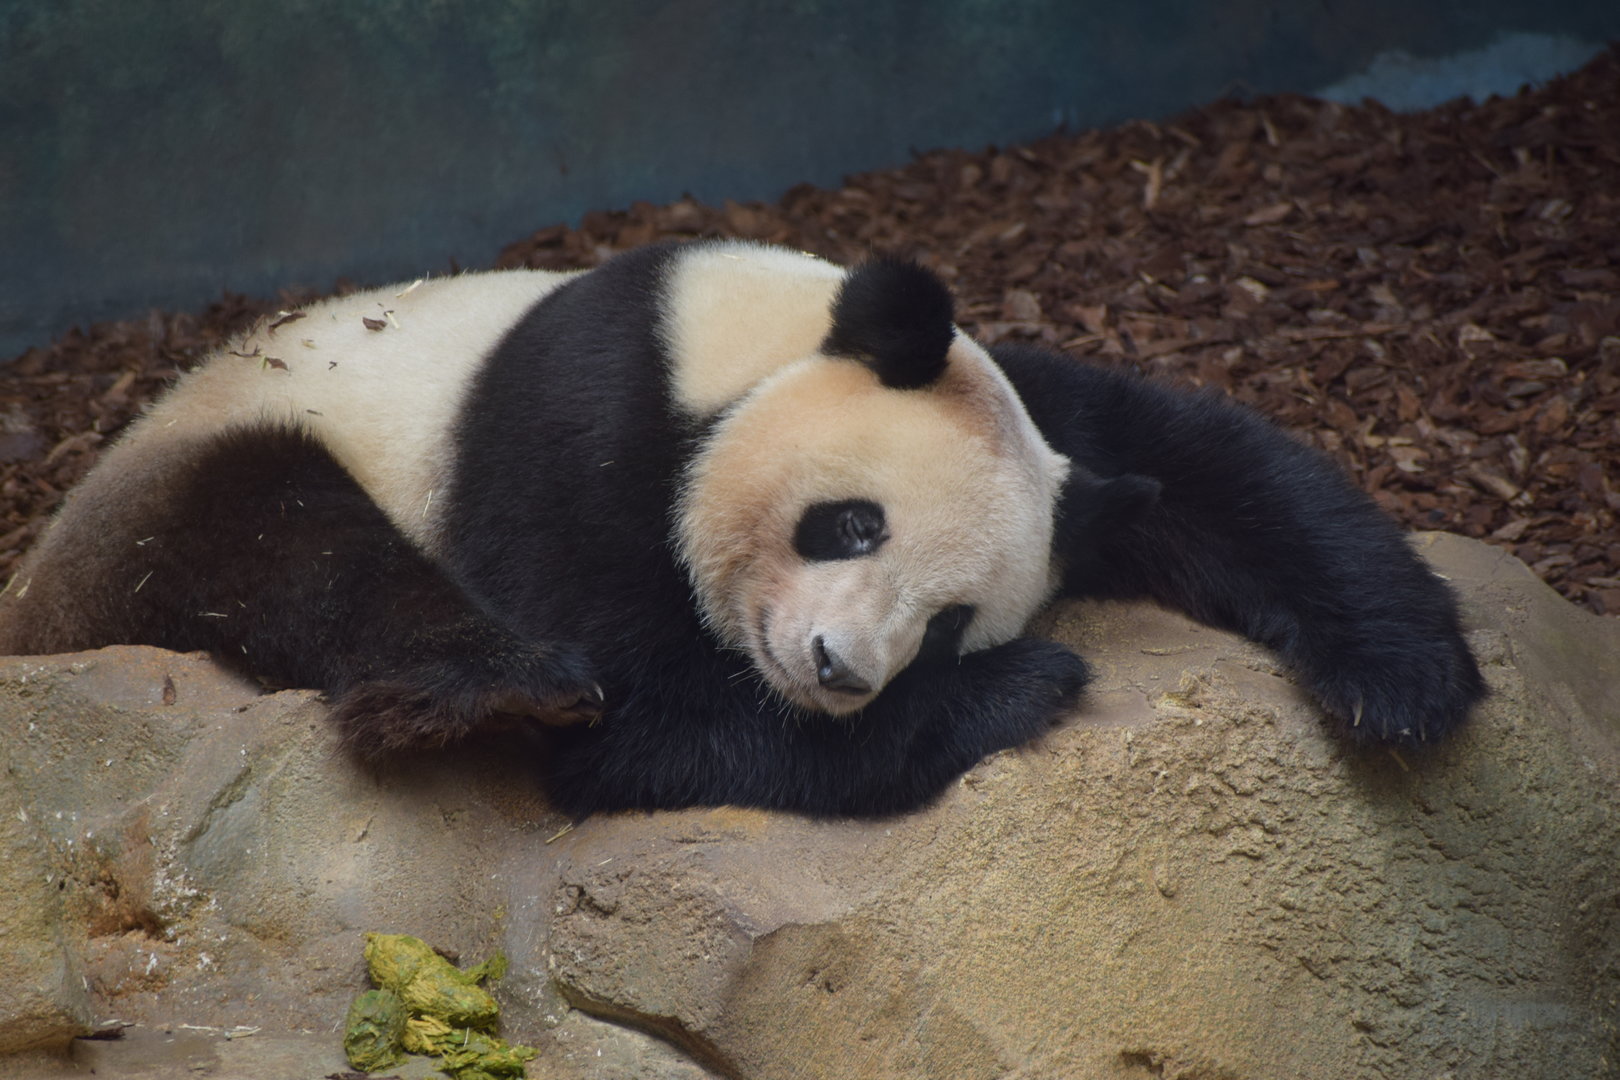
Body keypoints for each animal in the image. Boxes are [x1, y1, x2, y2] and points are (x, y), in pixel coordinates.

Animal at [0, 240, 1483, 817]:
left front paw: (1401, 678)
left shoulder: (1039, 416)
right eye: (850, 525)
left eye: (948, 619)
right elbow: (632, 712)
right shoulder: (573, 428)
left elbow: (1202, 463)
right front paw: (1025, 688)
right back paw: (477, 689)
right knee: (278, 535)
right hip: (197, 471)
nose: (837, 671)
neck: (744, 331)